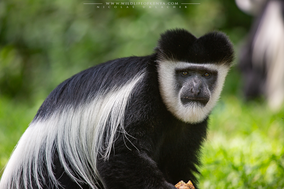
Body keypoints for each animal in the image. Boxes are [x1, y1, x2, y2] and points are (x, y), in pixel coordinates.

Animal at [0, 28, 234, 188]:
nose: (196, 88)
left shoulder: (193, 125)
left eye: (206, 74)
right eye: (185, 73)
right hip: (57, 167)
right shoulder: (140, 97)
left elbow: (180, 162)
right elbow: (118, 156)